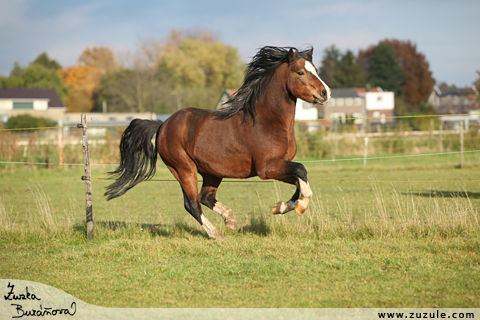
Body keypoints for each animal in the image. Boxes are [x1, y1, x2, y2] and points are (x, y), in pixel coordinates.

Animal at [104, 45, 330, 240]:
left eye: (317, 70)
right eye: (300, 72)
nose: (325, 93)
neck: (266, 121)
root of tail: (163, 125)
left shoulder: (280, 166)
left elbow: (299, 180)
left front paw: (280, 207)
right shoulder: (266, 168)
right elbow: (301, 170)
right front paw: (300, 206)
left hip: (212, 171)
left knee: (206, 197)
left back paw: (230, 220)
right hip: (183, 168)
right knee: (192, 203)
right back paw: (216, 234)